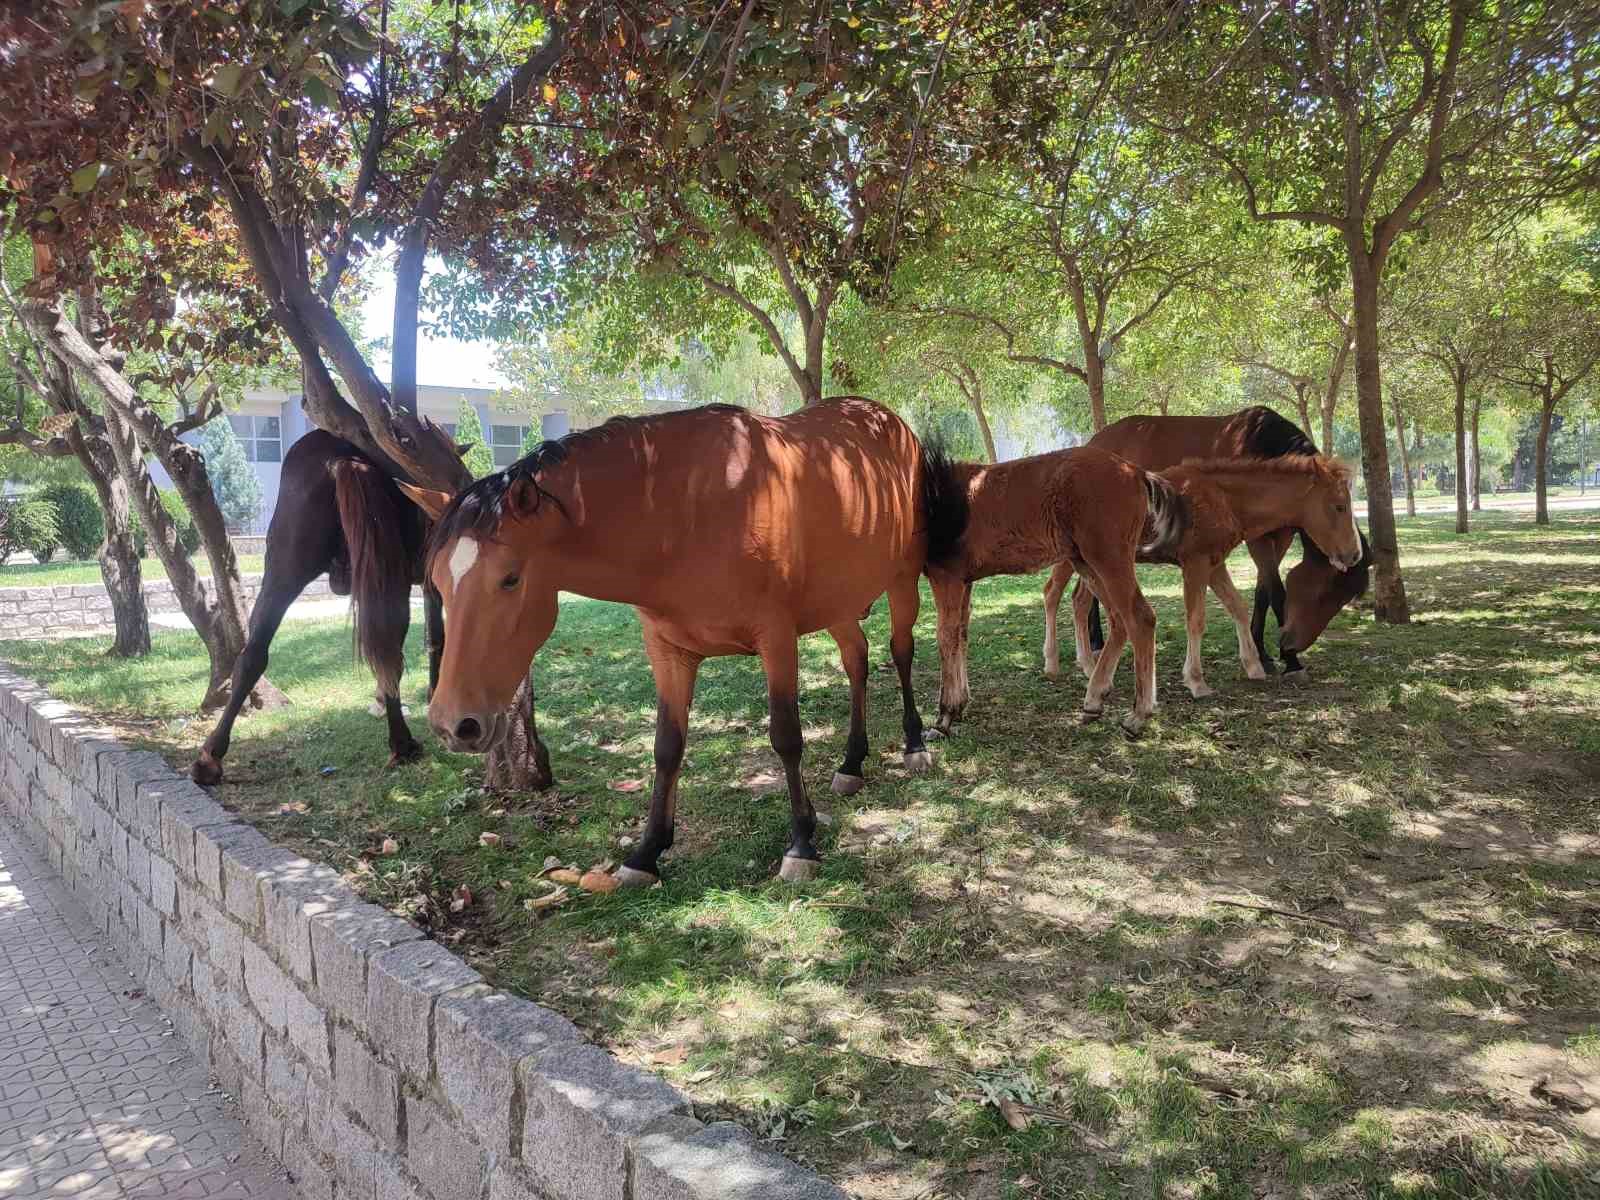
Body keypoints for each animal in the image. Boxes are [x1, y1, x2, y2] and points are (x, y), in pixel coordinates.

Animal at [406, 400, 966, 889]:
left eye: (510, 578)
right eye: (438, 582)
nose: (454, 724)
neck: (687, 511)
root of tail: (890, 422)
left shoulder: (777, 639)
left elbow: (786, 736)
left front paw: (801, 844)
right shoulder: (668, 652)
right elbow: (667, 747)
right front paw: (647, 852)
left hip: (900, 579)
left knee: (900, 651)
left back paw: (915, 745)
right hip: (837, 602)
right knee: (856, 659)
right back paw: (851, 763)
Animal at [928, 448, 1190, 739]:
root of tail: (1134, 470)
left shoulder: (946, 577)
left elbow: (945, 636)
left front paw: (944, 715)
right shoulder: (965, 581)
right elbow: (961, 634)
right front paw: (960, 704)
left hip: (1108, 558)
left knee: (1140, 618)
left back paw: (1138, 715)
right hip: (1086, 563)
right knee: (1118, 619)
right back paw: (1095, 699)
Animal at [1049, 454, 1363, 700]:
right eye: (1339, 506)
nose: (1354, 555)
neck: (1222, 498)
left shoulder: (1215, 565)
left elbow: (1237, 607)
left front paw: (1253, 666)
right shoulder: (1195, 564)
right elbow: (1196, 620)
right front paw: (1196, 681)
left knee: (1078, 600)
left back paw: (1088, 666)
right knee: (1052, 593)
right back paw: (1054, 663)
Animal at [1088, 409, 1376, 678]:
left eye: (1342, 600)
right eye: (1323, 593)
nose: (1293, 644)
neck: (1262, 442)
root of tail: (1096, 440)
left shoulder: (1281, 537)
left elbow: (1262, 592)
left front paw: (1262, 653)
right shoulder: (1257, 539)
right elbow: (1276, 591)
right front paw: (1289, 661)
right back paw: (1095, 642)